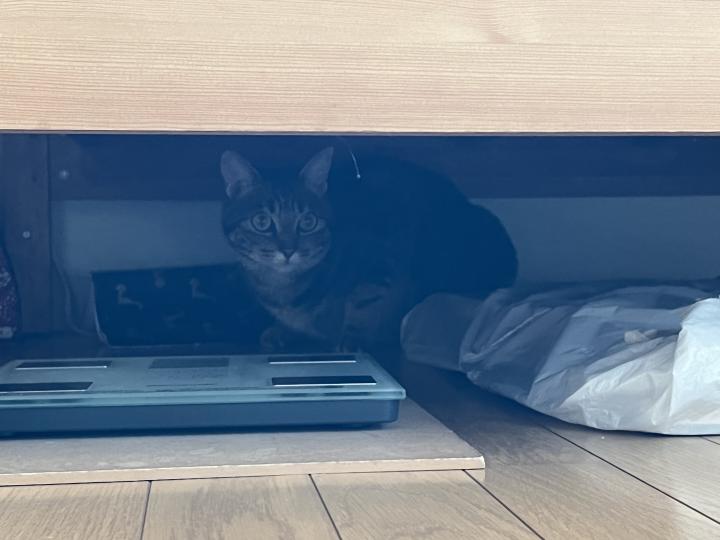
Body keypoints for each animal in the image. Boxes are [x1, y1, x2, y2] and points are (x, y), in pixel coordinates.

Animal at [220, 145, 518, 353]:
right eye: (262, 222)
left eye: (308, 221)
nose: (288, 250)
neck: (284, 289)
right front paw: (282, 330)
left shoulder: (383, 252)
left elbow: (363, 302)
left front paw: (353, 337)